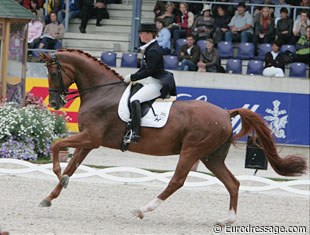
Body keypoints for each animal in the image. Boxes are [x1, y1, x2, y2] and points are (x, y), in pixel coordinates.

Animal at [39, 50, 308, 226]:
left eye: (53, 72)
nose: (55, 103)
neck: (101, 92)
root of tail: (225, 113)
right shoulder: (88, 142)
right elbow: (72, 166)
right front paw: (49, 197)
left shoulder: (91, 138)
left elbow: (56, 145)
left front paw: (57, 175)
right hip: (212, 157)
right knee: (232, 183)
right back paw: (227, 220)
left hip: (192, 151)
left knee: (177, 181)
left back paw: (143, 209)